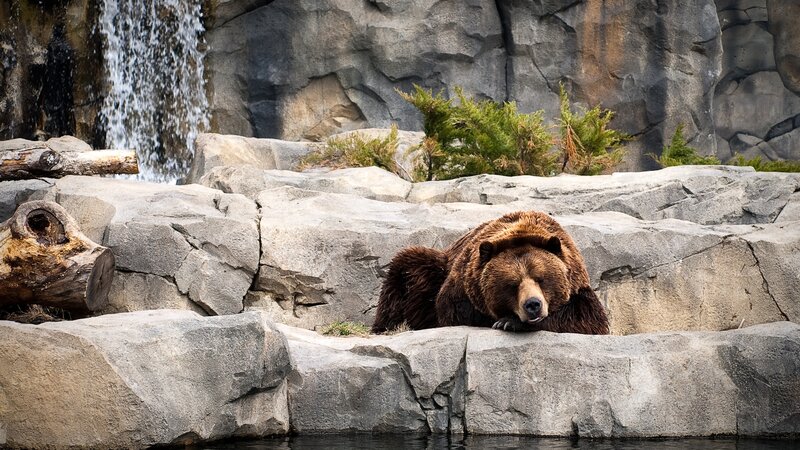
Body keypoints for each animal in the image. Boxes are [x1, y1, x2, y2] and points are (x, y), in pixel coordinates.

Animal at [371, 210, 609, 334]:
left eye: (541, 279)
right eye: (512, 284)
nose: (533, 305)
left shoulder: (577, 284)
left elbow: (587, 318)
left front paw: (509, 322)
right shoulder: (462, 286)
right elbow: (454, 311)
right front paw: (505, 320)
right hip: (433, 268)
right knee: (406, 270)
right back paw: (385, 327)